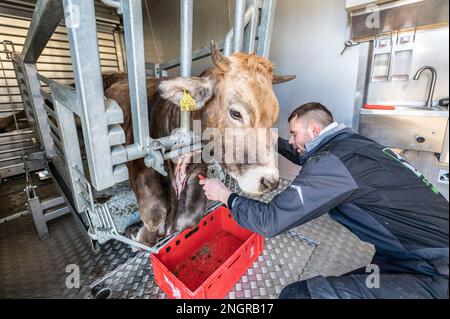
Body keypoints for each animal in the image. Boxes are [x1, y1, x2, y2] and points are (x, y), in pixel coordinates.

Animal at [105, 43, 296, 248]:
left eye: (274, 119)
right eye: (236, 113)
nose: (270, 181)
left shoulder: (198, 170)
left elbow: (192, 215)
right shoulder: (141, 164)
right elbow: (155, 211)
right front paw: (136, 234)